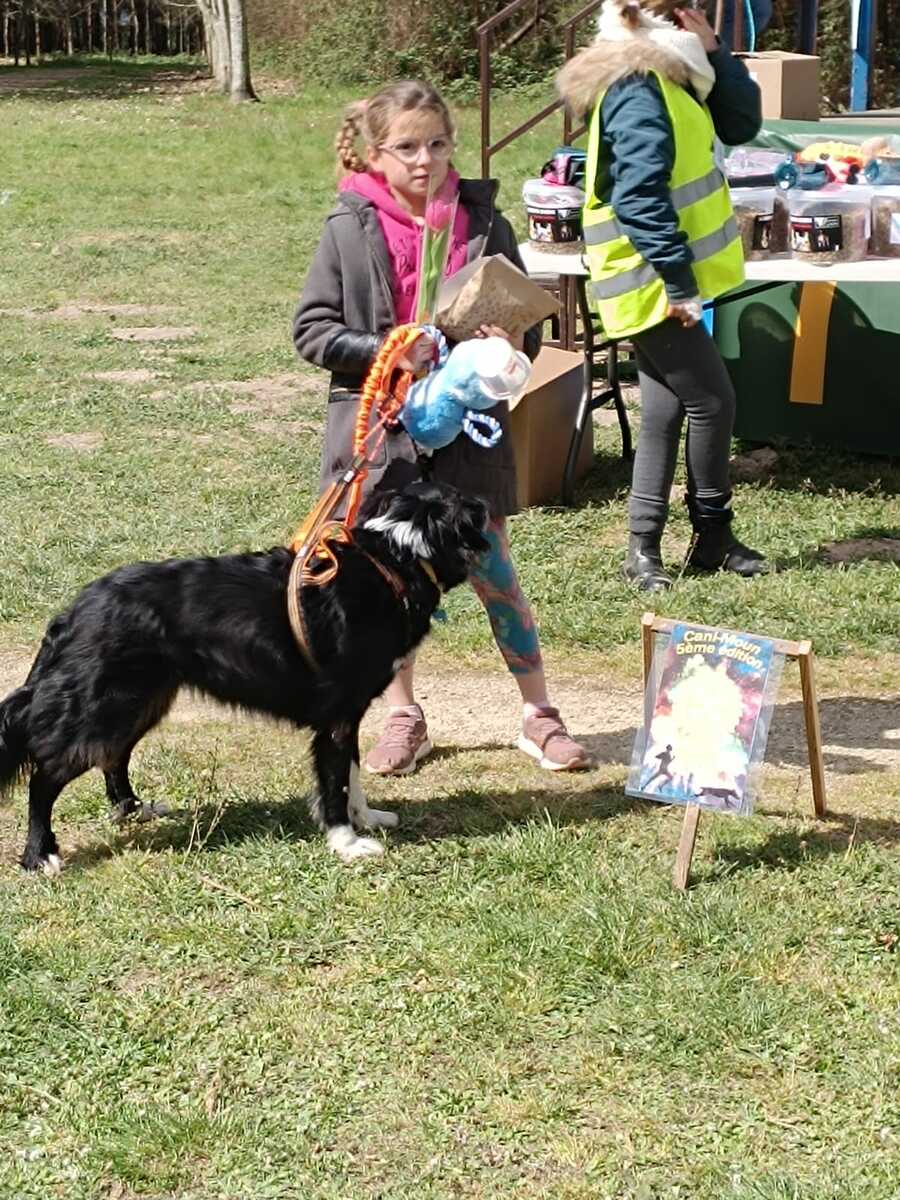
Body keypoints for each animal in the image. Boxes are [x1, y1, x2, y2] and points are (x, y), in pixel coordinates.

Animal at [0, 480, 489, 873]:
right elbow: (335, 781)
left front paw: (367, 819)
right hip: (105, 707)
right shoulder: (338, 716)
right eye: (471, 507)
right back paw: (40, 855)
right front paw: (346, 842)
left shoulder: (350, 714)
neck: (392, 560)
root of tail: (74, 611)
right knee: (45, 779)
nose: (489, 505)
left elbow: (352, 776)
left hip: (141, 701)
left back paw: (135, 810)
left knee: (114, 757)